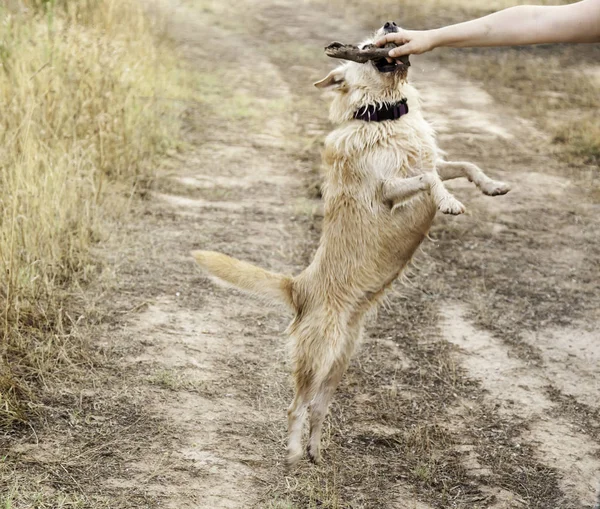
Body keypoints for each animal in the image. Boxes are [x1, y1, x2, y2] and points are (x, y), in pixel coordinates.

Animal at [191, 21, 506, 466]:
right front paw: (449, 201)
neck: (383, 115)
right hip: (317, 354)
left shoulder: (430, 161)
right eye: (364, 43)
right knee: (295, 406)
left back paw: (315, 451)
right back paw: (293, 453)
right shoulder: (387, 190)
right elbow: (430, 178)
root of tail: (297, 287)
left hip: (341, 360)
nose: (391, 23)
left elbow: (461, 164)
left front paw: (492, 185)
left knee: (318, 408)